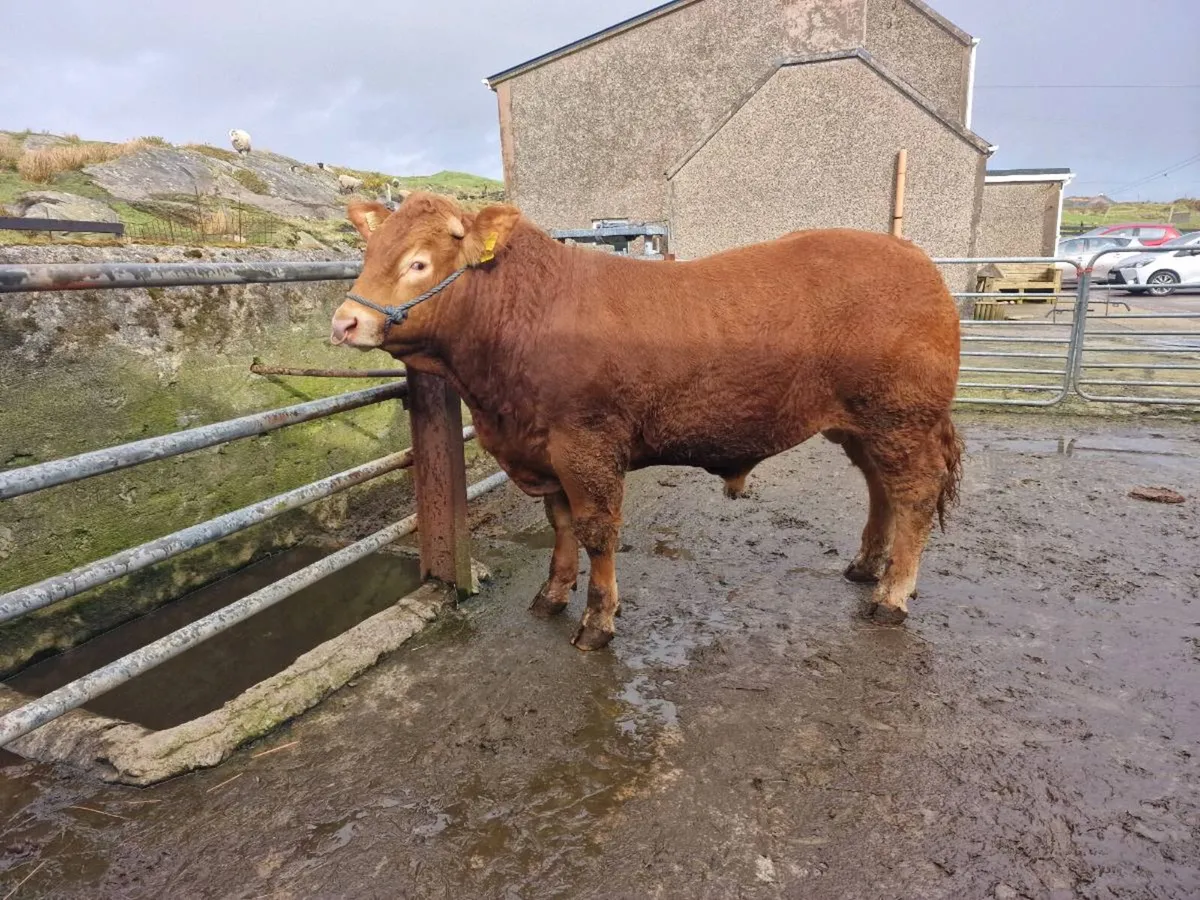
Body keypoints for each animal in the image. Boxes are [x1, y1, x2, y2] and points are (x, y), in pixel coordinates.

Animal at [330, 192, 963, 652]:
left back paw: (892, 595)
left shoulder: (587, 445)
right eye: (368, 255)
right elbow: (560, 524)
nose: (345, 322)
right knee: (880, 488)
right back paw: (867, 566)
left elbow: (597, 531)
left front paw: (597, 621)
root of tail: (914, 257)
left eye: (419, 262)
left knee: (914, 494)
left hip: (901, 417)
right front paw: (552, 593)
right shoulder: (542, 448)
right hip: (862, 425)